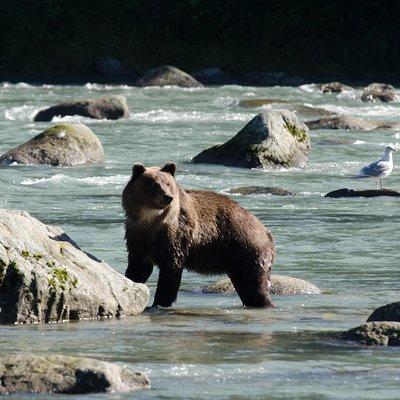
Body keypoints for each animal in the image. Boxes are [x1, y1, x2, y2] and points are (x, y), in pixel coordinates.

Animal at [122, 161, 276, 308]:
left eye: (168, 183)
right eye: (154, 184)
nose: (168, 197)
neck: (149, 219)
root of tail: (266, 231)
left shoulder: (174, 236)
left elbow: (170, 270)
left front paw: (159, 302)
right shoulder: (137, 236)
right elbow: (139, 267)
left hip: (246, 248)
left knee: (254, 284)